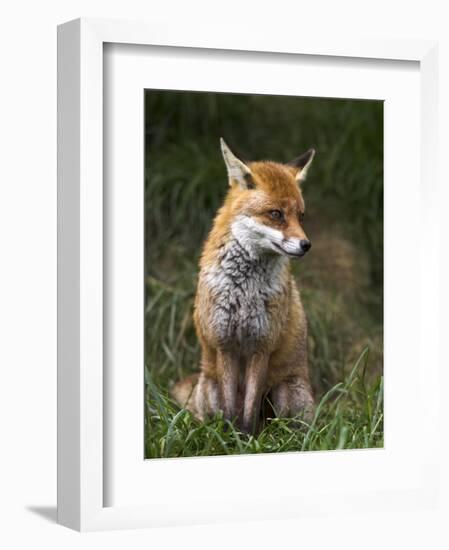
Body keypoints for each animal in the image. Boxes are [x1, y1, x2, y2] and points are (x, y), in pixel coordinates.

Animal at [172, 139, 316, 436]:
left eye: (301, 216)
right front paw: (231, 439)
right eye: (276, 214)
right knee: (207, 414)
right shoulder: (225, 343)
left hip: (285, 392)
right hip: (210, 386)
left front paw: (248, 439)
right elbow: (230, 409)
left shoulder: (262, 345)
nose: (306, 245)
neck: (245, 290)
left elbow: (249, 411)